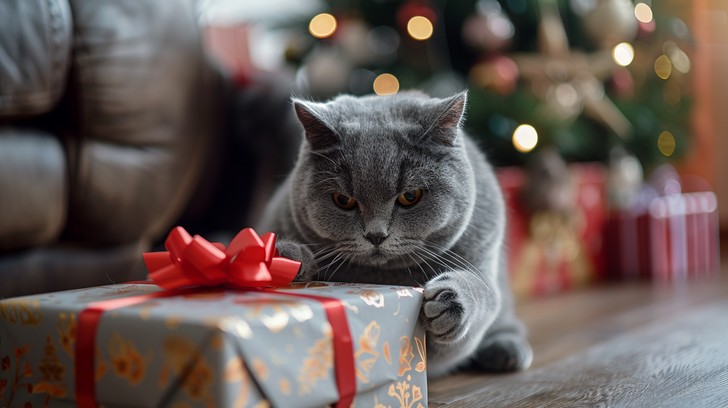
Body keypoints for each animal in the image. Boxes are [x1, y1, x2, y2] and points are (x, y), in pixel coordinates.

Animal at [258, 91, 532, 378]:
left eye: (410, 196)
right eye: (343, 200)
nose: (376, 235)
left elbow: (479, 295)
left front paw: (450, 302)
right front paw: (285, 258)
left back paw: (506, 349)